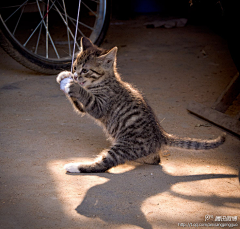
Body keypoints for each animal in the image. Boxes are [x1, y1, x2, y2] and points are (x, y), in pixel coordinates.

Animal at [56, 36, 225, 173]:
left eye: (85, 70)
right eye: (74, 67)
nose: (75, 76)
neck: (104, 81)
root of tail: (160, 135)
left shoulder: (100, 105)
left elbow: (85, 95)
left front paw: (73, 85)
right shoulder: (84, 106)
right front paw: (64, 77)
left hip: (125, 146)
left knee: (105, 164)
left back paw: (75, 166)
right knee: (155, 159)